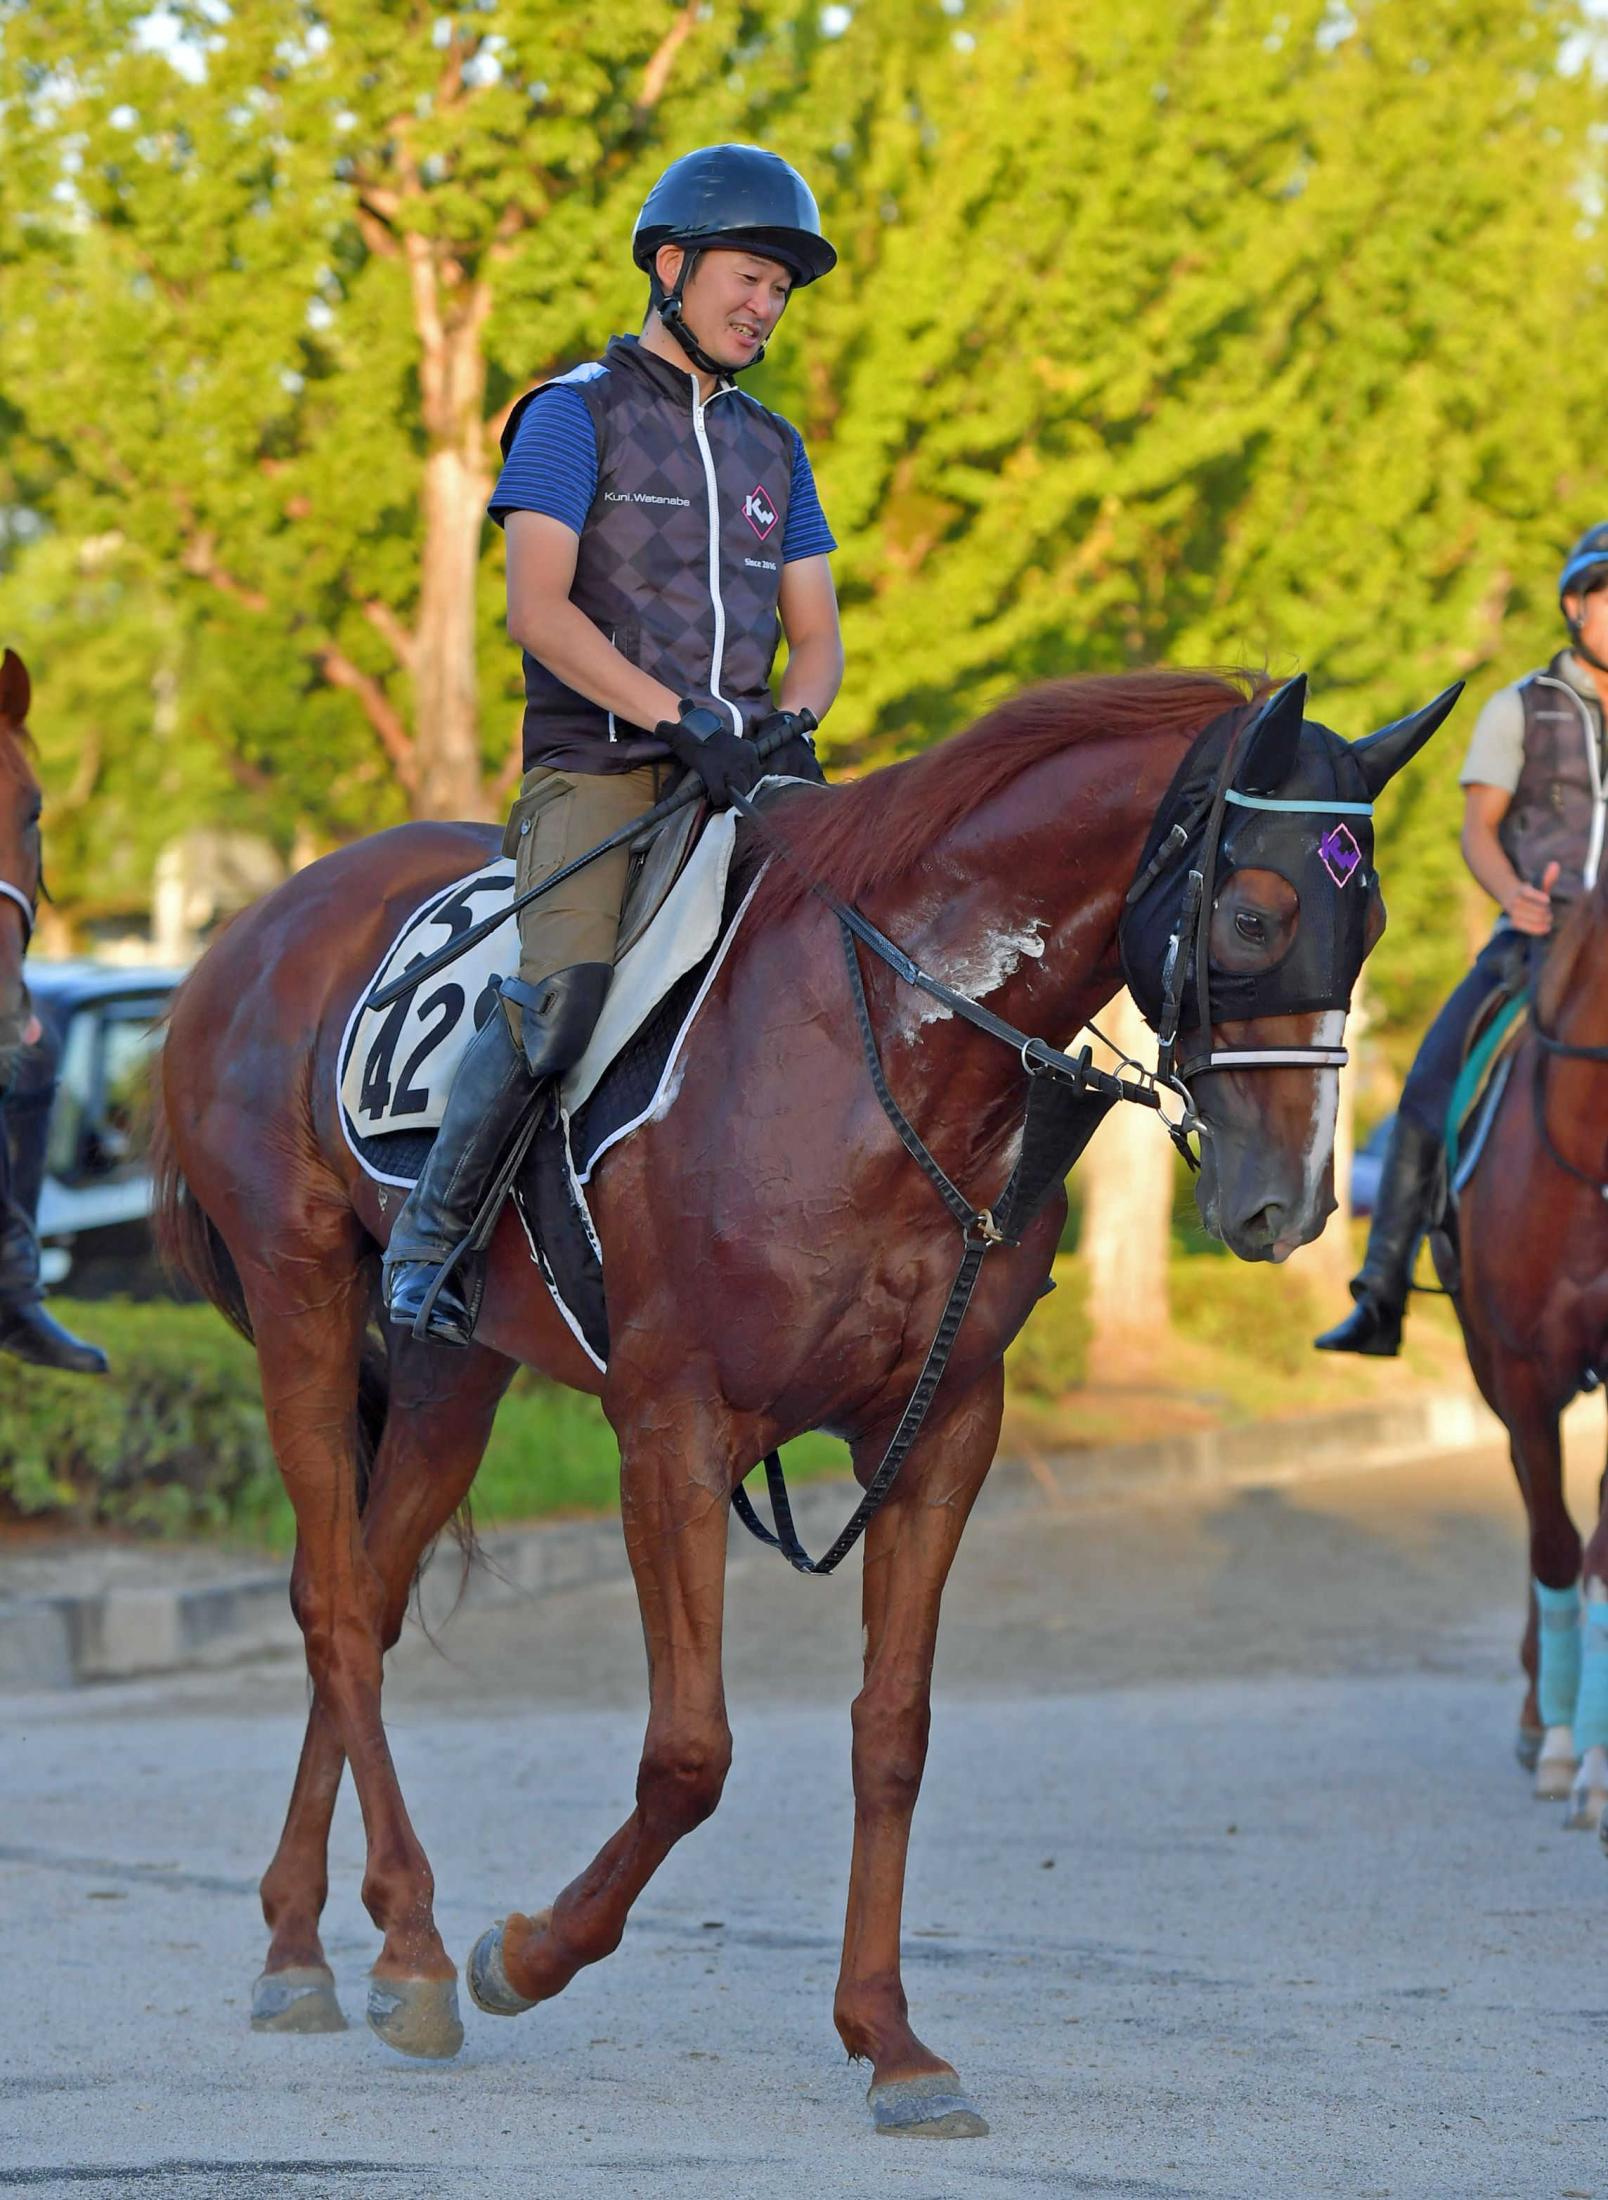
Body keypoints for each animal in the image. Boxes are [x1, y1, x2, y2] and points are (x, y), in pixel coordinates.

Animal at [150, 664, 1451, 2129]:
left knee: (364, 1606)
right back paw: (419, 1942)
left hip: (452, 1365)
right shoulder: (671, 1423)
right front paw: (525, 1955)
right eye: (1254, 913)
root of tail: (262, 923)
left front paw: (890, 2038)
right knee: (328, 1597)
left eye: (1371, 923)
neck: (890, 1046)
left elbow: (893, 1733)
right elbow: (690, 1753)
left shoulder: (944, 1429)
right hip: (300, 1296)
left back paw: (308, 1939)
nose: (1288, 1204)